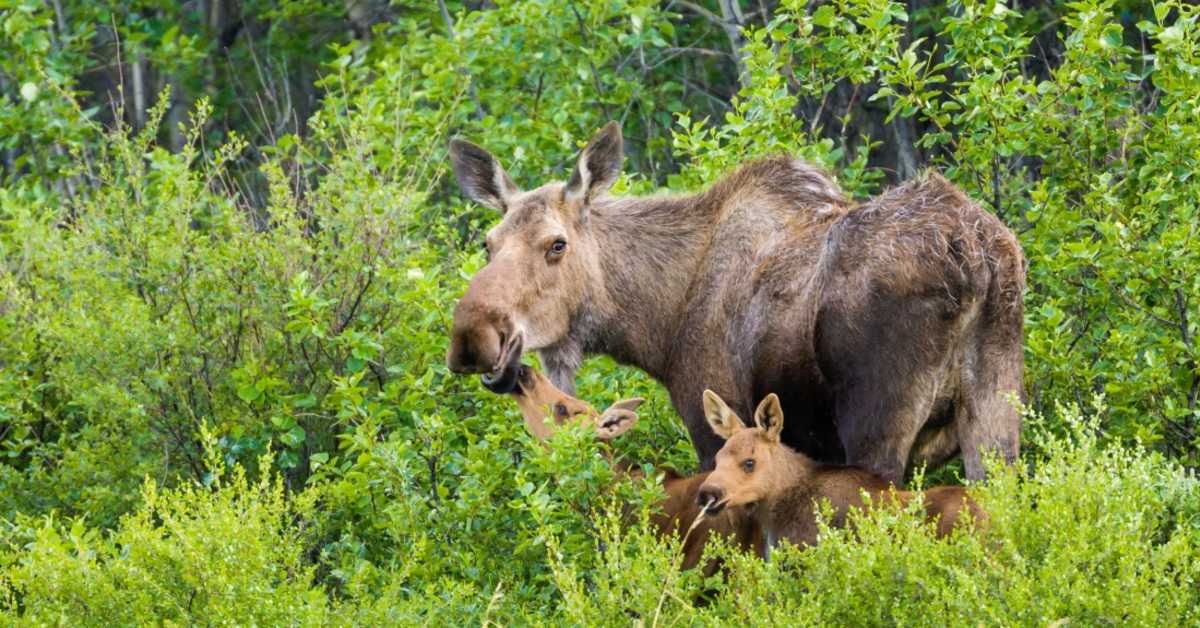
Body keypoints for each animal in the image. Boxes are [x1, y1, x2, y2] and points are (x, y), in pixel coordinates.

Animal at [446, 123, 1027, 482]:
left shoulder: (710, 425)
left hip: (878, 423)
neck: (657, 324)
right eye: (489, 243)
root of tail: (979, 259)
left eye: (556, 244)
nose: (474, 337)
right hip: (996, 413)